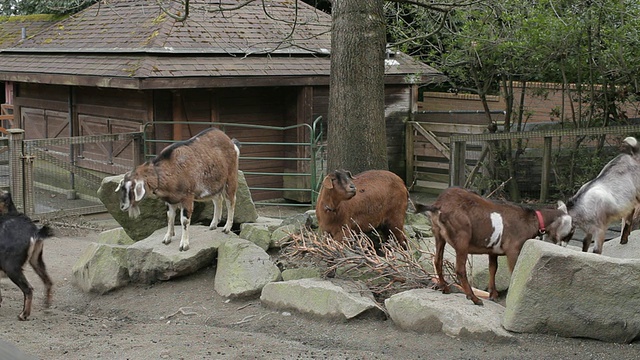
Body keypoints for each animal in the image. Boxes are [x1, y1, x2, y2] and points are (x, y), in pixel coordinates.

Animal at [416, 187, 576, 306]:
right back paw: (474, 299)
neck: (533, 220)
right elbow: (513, 270)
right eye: (571, 231)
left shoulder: (492, 250)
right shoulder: (513, 250)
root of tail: (439, 205)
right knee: (460, 269)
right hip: (462, 238)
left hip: (438, 235)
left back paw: (445, 287)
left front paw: (493, 294)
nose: (564, 246)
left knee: (437, 260)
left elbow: (493, 268)